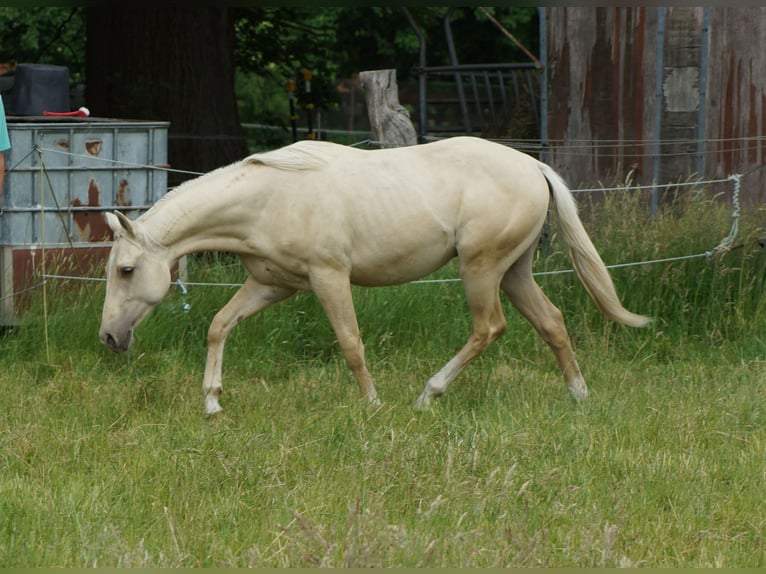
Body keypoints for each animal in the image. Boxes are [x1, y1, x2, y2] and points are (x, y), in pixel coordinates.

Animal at [99, 136, 649, 415]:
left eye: (126, 269)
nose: (108, 338)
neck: (269, 198)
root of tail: (534, 167)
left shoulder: (328, 277)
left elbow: (350, 344)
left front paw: (372, 406)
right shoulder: (272, 284)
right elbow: (219, 324)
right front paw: (212, 403)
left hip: (481, 268)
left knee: (489, 328)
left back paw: (427, 395)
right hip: (514, 270)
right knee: (551, 322)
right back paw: (579, 397)